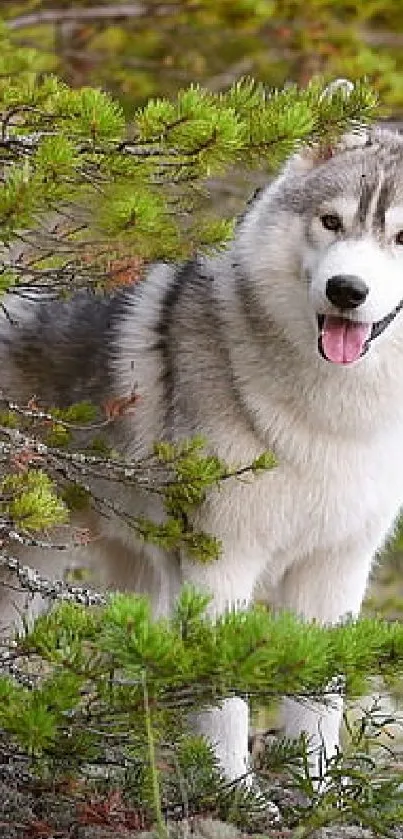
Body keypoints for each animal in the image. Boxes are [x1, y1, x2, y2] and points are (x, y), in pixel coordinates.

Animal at [2, 115, 403, 784]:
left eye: (401, 236)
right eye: (331, 222)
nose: (346, 290)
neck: (332, 415)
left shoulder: (334, 571)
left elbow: (318, 706)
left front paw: (316, 792)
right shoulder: (220, 564)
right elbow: (224, 704)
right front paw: (235, 792)